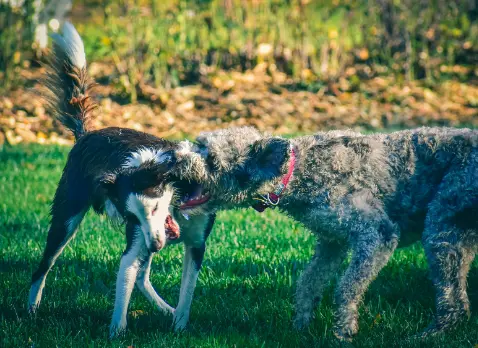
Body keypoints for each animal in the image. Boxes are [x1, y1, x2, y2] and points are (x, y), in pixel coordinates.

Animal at [29, 21, 216, 338]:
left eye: (155, 208)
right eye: (134, 217)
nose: (156, 246)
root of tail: (86, 134)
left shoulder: (195, 244)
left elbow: (186, 292)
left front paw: (179, 325)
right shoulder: (137, 240)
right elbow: (125, 282)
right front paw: (117, 332)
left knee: (143, 276)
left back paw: (166, 309)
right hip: (65, 220)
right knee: (42, 267)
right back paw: (30, 310)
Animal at [174, 125, 478, 340]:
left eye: (211, 158)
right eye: (198, 143)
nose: (174, 157)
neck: (297, 172)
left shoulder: (377, 235)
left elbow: (346, 287)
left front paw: (344, 331)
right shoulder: (332, 242)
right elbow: (308, 282)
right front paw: (300, 325)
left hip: (441, 230)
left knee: (455, 303)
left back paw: (428, 336)